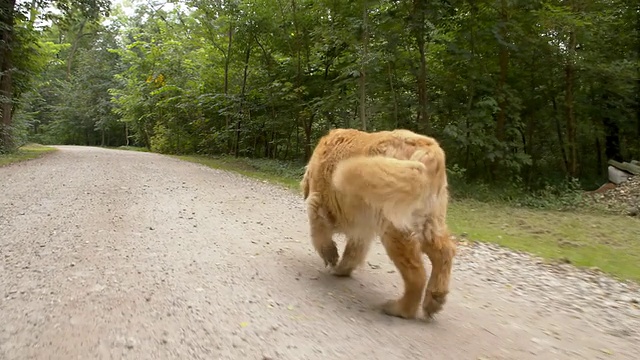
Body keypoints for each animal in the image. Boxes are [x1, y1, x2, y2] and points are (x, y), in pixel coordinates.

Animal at [300, 128, 456, 320]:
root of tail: (430, 151)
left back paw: (400, 309)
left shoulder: (318, 204)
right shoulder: (363, 225)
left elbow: (319, 234)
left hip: (395, 228)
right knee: (444, 253)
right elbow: (354, 251)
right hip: (429, 222)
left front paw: (330, 256)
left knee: (416, 275)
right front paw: (342, 269)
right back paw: (435, 298)